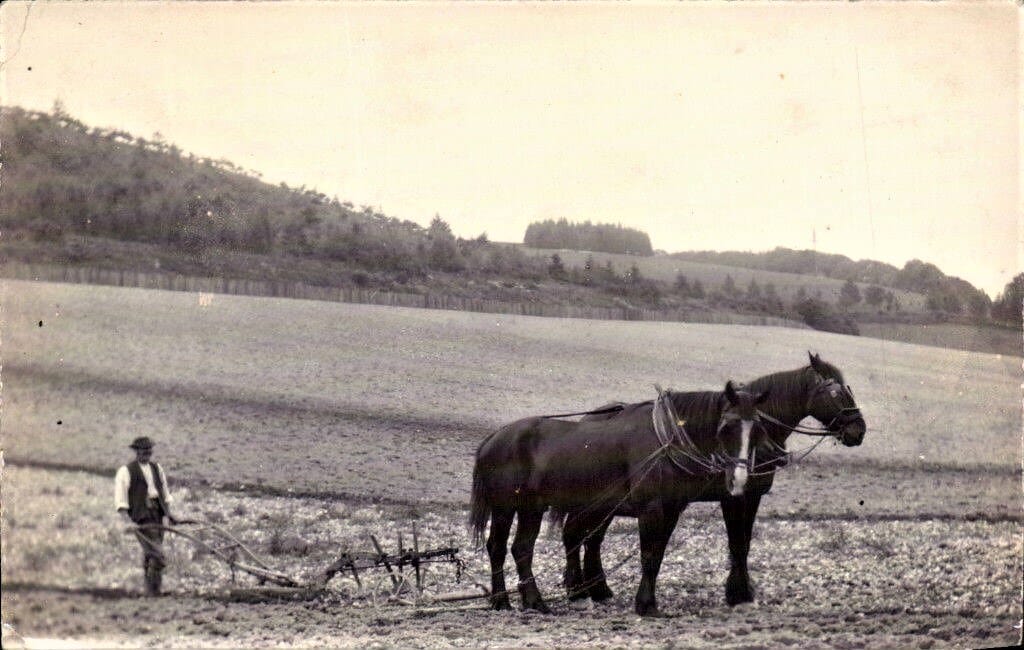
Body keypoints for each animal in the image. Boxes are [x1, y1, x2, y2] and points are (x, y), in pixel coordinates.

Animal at [469, 380, 772, 616]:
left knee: (521, 549)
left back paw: (530, 601)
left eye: (758, 430)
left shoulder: (671, 510)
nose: (740, 479)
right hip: (505, 507)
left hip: (532, 508)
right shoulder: (651, 509)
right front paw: (646, 605)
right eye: (727, 427)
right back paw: (506, 600)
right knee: (499, 548)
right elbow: (648, 555)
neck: (666, 439)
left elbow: (657, 555)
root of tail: (493, 438)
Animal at [556, 352, 866, 609]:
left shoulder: (751, 496)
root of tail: (586, 420)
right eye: (836, 392)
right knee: (576, 533)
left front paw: (741, 592)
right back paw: (580, 590)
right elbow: (736, 542)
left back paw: (598, 589)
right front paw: (738, 593)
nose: (859, 430)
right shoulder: (732, 497)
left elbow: (744, 543)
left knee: (591, 538)